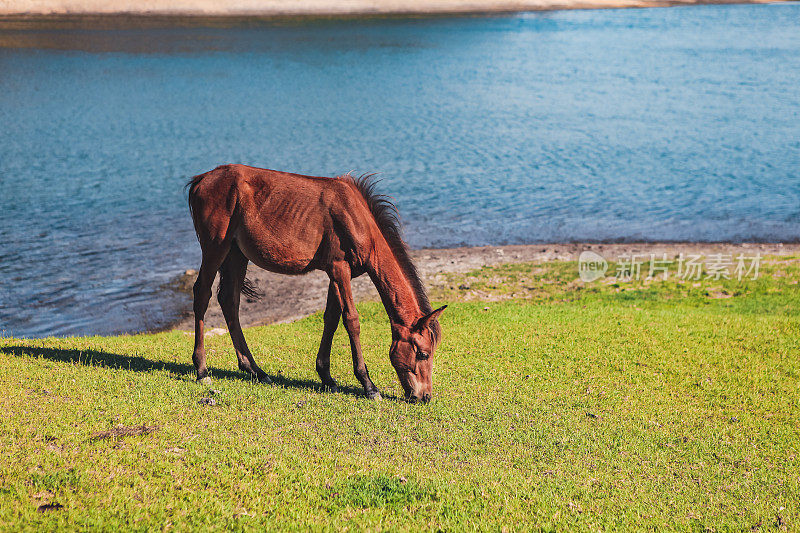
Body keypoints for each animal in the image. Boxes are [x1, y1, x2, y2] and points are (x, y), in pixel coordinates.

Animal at [189, 164, 450, 402]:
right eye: (423, 354)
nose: (425, 396)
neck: (356, 218)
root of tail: (201, 179)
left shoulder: (337, 274)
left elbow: (331, 319)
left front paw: (326, 377)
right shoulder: (339, 268)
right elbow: (352, 320)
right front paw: (368, 385)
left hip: (236, 254)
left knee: (229, 301)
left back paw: (255, 370)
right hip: (215, 248)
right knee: (202, 294)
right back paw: (202, 370)